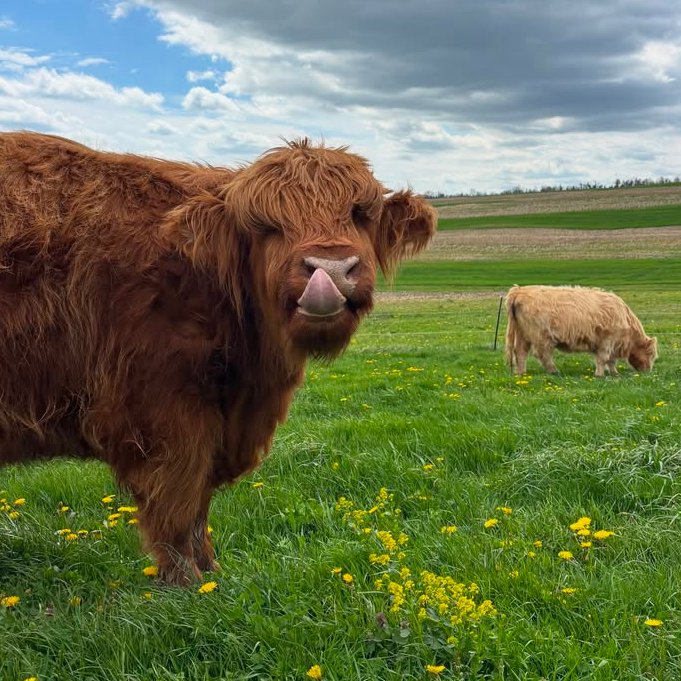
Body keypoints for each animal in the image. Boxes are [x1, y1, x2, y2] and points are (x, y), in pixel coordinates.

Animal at [0, 131, 436, 584]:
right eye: (268, 226)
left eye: (359, 214)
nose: (330, 268)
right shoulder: (164, 412)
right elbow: (178, 501)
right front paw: (188, 582)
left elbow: (198, 506)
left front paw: (212, 572)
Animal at [505, 284, 657, 377]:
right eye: (651, 354)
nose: (648, 371)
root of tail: (520, 290)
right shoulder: (608, 340)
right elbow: (603, 358)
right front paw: (599, 374)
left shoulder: (611, 344)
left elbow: (610, 360)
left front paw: (614, 373)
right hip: (541, 336)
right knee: (543, 355)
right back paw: (554, 371)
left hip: (523, 334)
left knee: (521, 352)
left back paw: (521, 373)